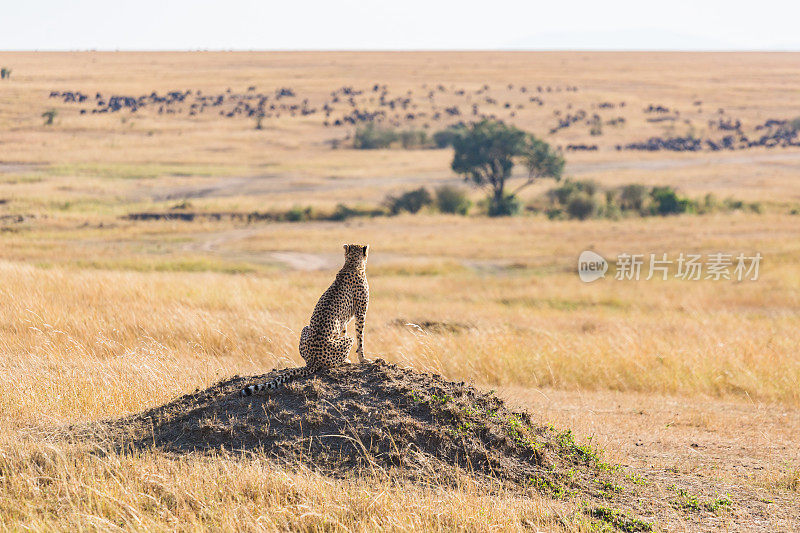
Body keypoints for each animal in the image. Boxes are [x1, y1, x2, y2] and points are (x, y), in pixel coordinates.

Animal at [239, 245, 370, 394]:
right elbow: (360, 338)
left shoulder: (344, 320)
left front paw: (353, 358)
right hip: (346, 341)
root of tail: (312, 361)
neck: (351, 264)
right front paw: (363, 359)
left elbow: (343, 331)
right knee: (333, 361)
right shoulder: (361, 314)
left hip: (305, 328)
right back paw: (343, 362)